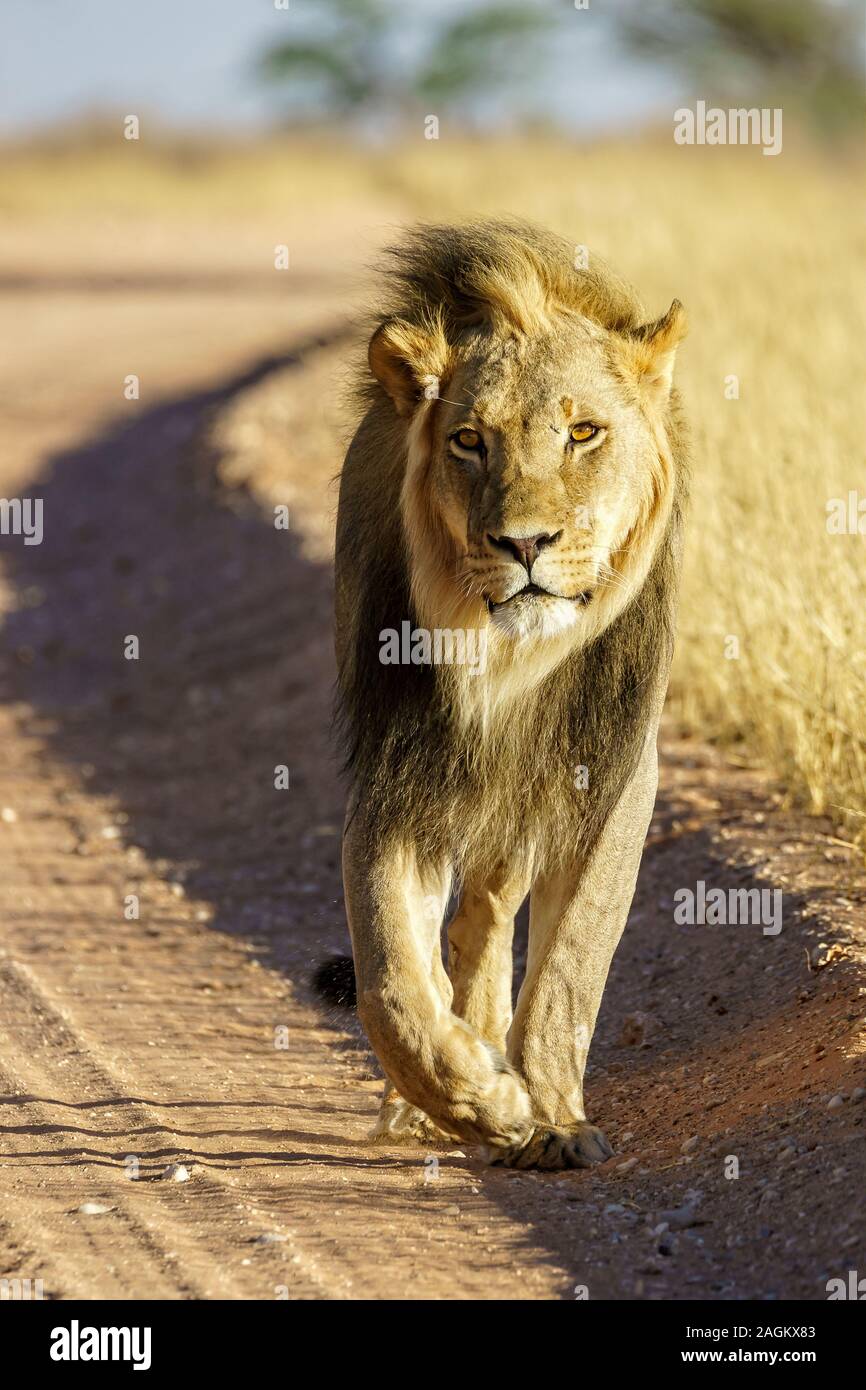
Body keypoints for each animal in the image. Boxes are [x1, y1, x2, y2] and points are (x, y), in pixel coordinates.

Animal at [332, 219, 692, 1173]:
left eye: (584, 432)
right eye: (469, 442)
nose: (525, 543)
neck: (509, 662)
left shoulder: (613, 775)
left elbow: (570, 962)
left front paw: (553, 1118)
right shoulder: (396, 779)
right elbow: (391, 983)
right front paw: (483, 1101)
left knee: (495, 909)